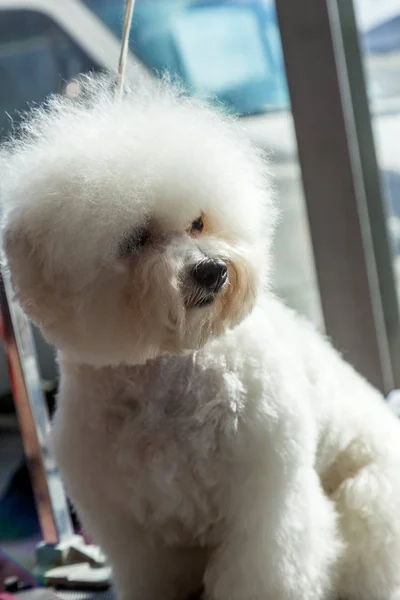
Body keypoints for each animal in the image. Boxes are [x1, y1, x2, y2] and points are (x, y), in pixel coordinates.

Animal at [0, 75, 400, 600]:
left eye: (198, 222)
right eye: (136, 238)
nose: (212, 271)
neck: (166, 375)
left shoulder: (265, 509)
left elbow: (264, 573)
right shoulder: (136, 535)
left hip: (368, 494)